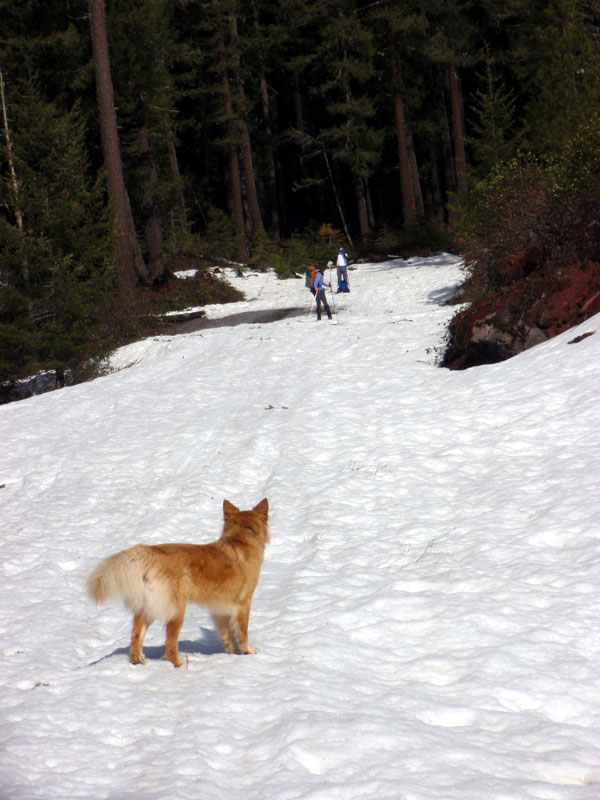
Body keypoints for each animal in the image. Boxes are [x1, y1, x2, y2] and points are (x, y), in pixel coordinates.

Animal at [87, 496, 270, 664]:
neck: (242, 538)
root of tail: (152, 552)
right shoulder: (244, 604)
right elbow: (242, 632)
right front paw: (248, 651)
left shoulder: (222, 609)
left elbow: (228, 635)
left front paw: (233, 653)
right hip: (176, 610)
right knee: (170, 642)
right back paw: (179, 663)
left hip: (151, 606)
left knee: (136, 634)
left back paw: (138, 659)